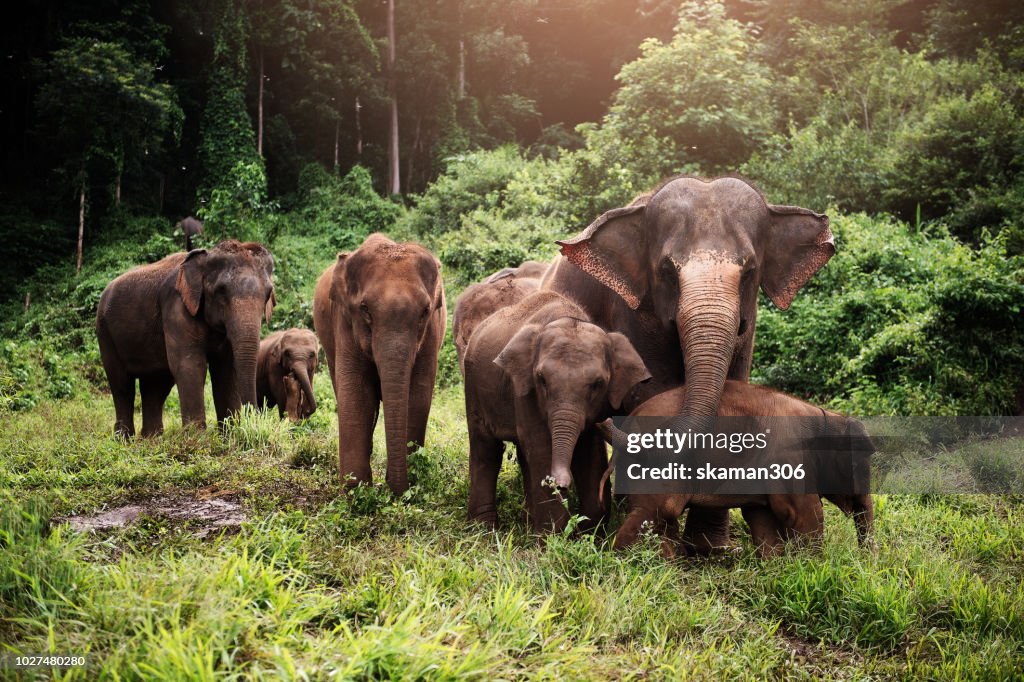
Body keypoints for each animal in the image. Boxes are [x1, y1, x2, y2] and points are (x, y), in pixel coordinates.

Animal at [313, 231, 446, 491]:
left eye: (425, 311)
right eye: (365, 308)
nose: (395, 489)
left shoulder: (431, 331)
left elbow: (418, 394)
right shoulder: (345, 321)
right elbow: (357, 395)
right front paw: (356, 489)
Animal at [464, 286, 647, 532]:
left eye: (598, 383)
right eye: (541, 379)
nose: (560, 482)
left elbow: (590, 451)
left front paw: (590, 532)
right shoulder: (524, 390)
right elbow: (542, 446)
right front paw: (552, 536)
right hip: (474, 387)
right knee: (486, 448)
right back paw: (484, 530)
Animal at [544, 174, 831, 548]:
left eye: (750, 270)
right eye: (667, 270)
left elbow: (733, 386)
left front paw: (709, 548)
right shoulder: (635, 314)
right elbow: (653, 392)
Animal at [602, 378, 876, 557]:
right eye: (862, 460)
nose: (866, 564)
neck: (824, 415)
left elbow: (762, 518)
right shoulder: (790, 458)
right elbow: (805, 515)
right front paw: (813, 567)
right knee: (656, 511)